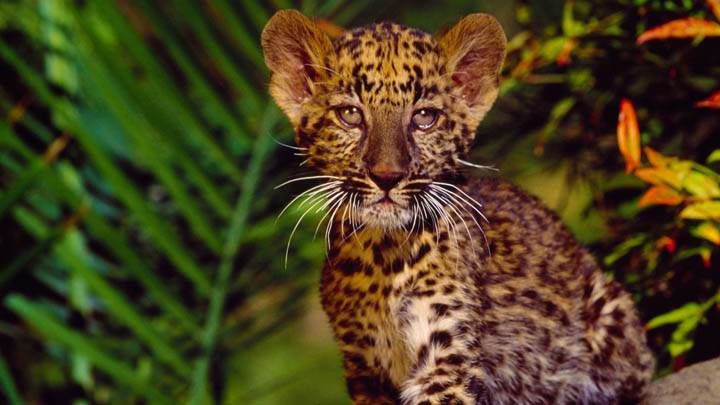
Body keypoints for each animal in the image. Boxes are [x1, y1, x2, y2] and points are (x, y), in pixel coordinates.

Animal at [261, 10, 655, 405]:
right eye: (350, 115)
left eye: (424, 117)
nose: (387, 176)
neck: (382, 256)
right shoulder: (364, 368)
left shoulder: (447, 355)